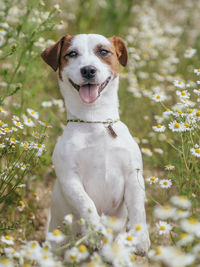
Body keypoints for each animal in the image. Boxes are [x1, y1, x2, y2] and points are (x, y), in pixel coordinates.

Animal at [41, 33, 150, 255]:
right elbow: (87, 204)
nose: (88, 70)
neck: (95, 122)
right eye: (71, 54)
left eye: (103, 51)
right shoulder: (69, 178)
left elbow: (138, 209)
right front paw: (96, 232)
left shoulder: (133, 176)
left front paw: (140, 238)